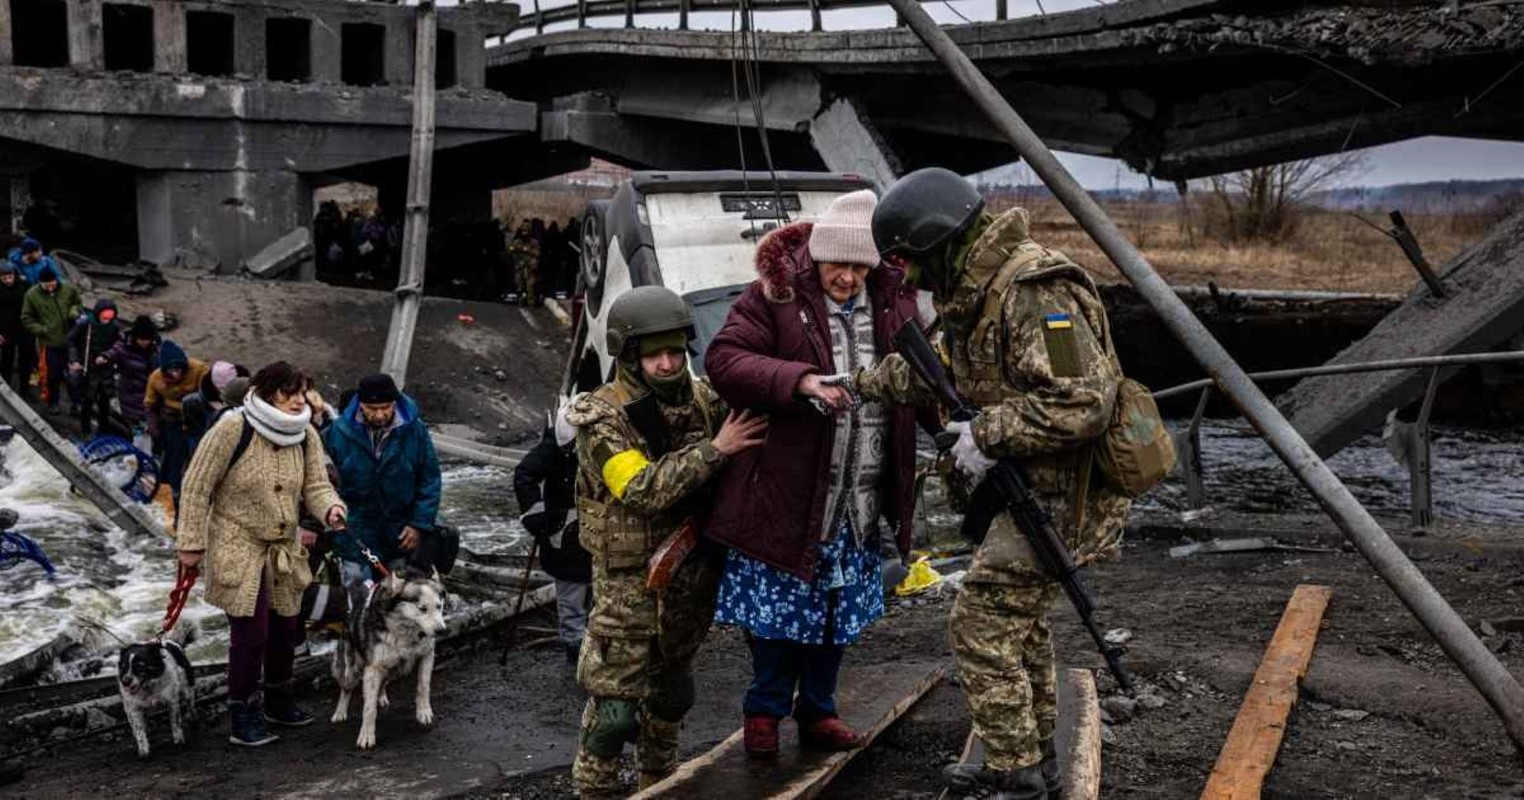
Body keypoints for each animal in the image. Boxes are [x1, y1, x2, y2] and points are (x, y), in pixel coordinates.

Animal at [117, 624, 198, 755]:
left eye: (140, 665)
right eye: (124, 667)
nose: (125, 682)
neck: (148, 688)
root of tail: (175, 643)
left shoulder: (172, 702)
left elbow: (175, 722)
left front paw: (179, 740)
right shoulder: (134, 709)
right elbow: (139, 731)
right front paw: (144, 750)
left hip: (187, 690)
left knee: (191, 705)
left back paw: (194, 720)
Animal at [330, 566, 448, 749]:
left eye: (439, 606)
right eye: (422, 608)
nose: (442, 631)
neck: (406, 630)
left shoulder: (427, 655)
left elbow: (423, 687)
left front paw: (424, 713)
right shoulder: (373, 668)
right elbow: (369, 708)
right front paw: (366, 735)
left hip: (395, 669)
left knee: (384, 682)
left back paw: (381, 696)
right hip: (351, 671)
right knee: (346, 689)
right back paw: (340, 712)